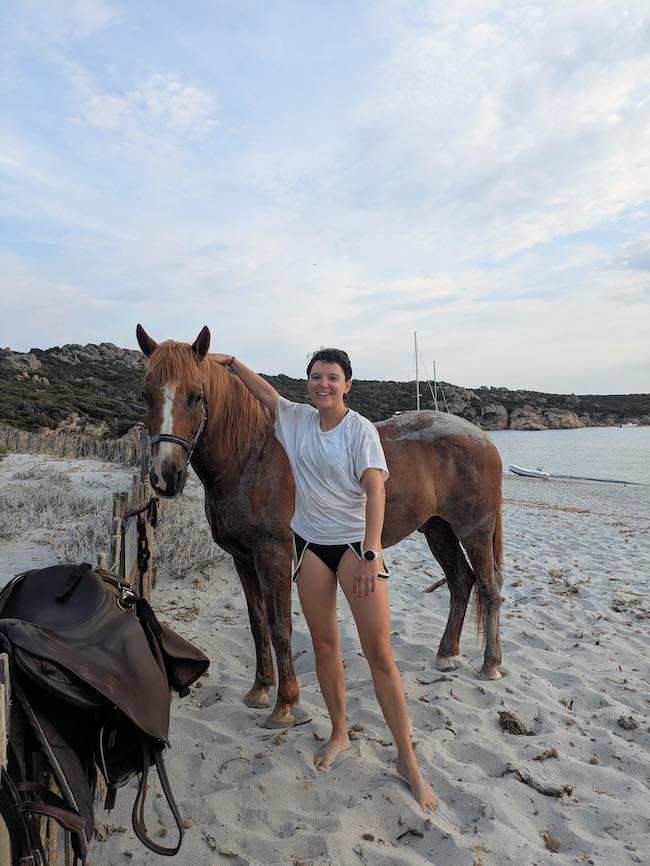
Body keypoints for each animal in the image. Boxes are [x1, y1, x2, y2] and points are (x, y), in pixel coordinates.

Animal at [136, 325, 504, 727]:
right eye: (146, 394)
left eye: (196, 395)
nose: (165, 477)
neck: (251, 457)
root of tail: (481, 438)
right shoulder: (243, 559)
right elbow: (257, 624)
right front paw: (259, 690)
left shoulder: (273, 556)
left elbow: (280, 626)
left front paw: (284, 704)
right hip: (438, 530)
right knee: (461, 582)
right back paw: (446, 654)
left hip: (474, 531)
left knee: (489, 588)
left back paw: (490, 664)